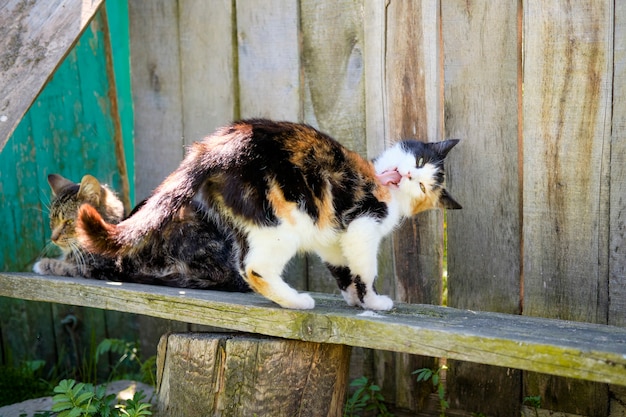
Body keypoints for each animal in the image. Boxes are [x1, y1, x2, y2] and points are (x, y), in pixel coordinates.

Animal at [34, 171, 247, 290]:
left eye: (69, 222)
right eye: (52, 221)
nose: (53, 238)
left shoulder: (101, 267)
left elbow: (66, 267)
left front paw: (43, 264)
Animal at [73, 118, 460, 308]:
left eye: (424, 187)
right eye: (419, 161)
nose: (408, 176)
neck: (383, 187)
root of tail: (219, 146)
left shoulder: (335, 242)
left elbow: (343, 271)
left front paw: (352, 299)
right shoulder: (363, 228)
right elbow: (365, 272)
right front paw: (374, 303)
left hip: (250, 220)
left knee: (245, 263)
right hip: (282, 221)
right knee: (254, 268)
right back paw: (298, 303)